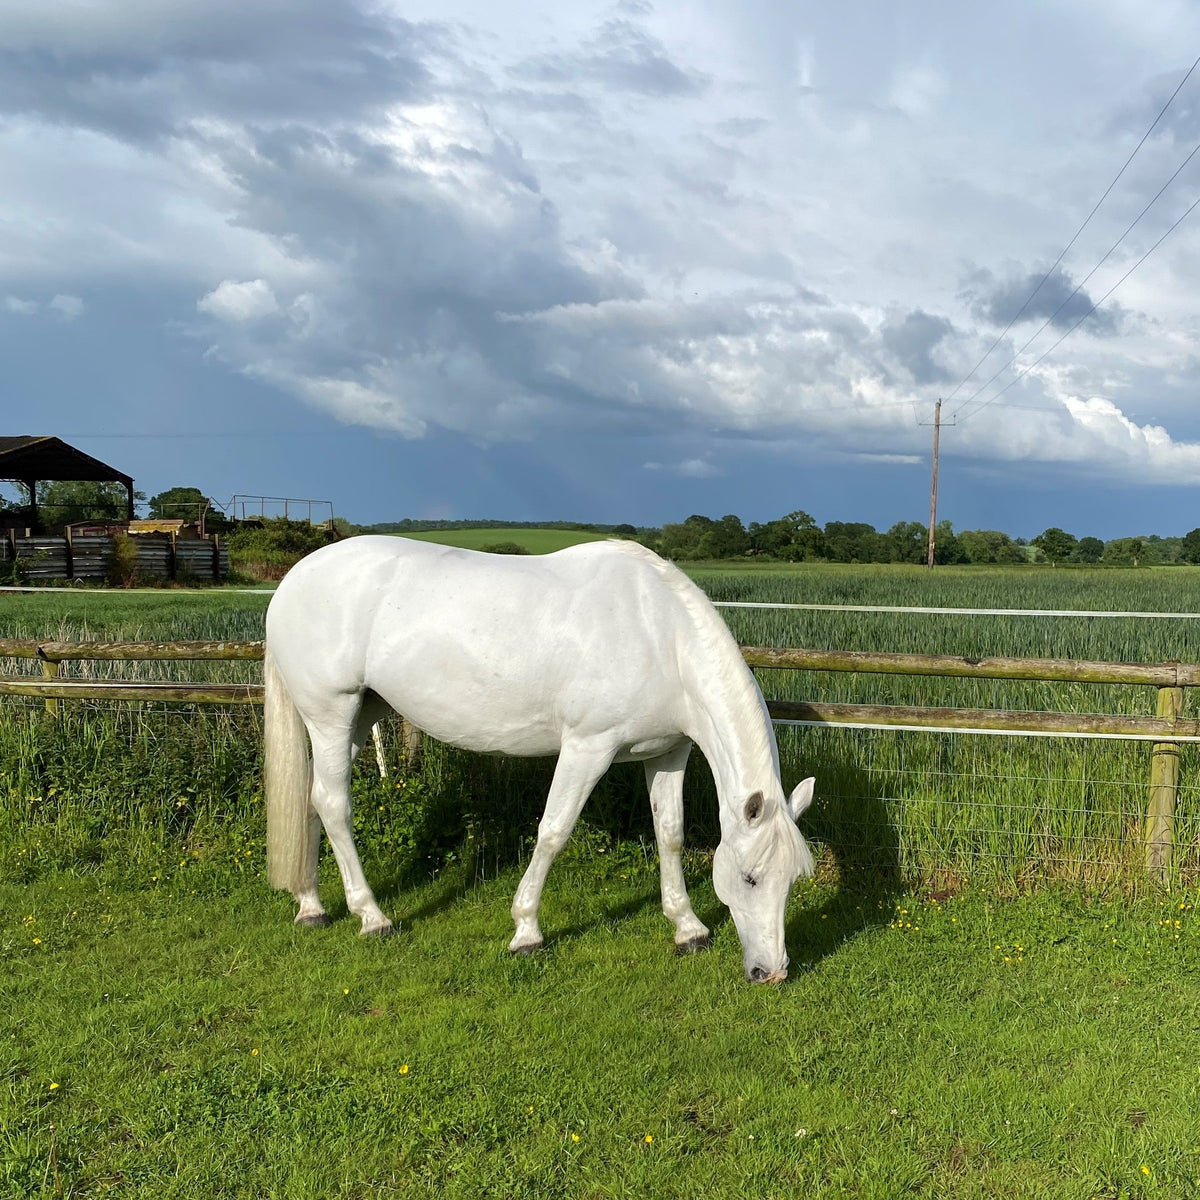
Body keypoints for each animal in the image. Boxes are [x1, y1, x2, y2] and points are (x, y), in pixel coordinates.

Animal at [263, 536, 816, 983]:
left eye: (793, 879)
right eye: (750, 878)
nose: (772, 973)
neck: (659, 634)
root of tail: (293, 579)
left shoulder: (667, 752)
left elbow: (671, 835)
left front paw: (688, 928)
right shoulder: (587, 748)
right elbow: (553, 832)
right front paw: (526, 931)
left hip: (360, 717)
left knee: (312, 799)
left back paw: (311, 906)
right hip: (332, 715)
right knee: (334, 805)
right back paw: (372, 917)